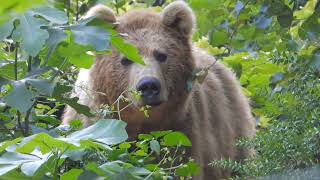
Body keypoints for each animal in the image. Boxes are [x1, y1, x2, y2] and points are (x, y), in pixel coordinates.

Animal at [63, 1, 255, 179]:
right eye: (125, 60)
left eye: (161, 55)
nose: (148, 85)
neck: (141, 122)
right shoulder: (93, 127)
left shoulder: (179, 131)